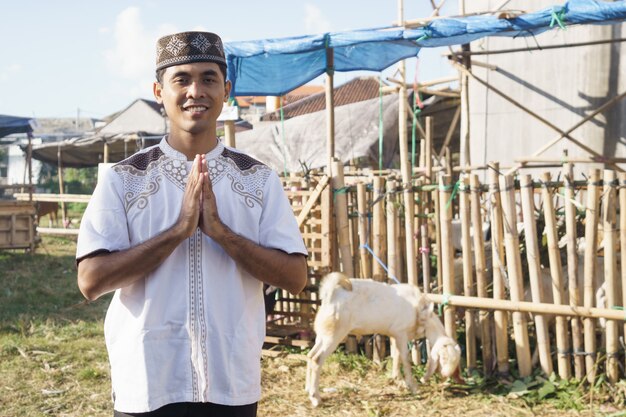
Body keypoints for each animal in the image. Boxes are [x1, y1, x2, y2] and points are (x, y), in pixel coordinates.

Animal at [304, 272, 426, 404]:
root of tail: (330, 295)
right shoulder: (401, 333)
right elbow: (405, 358)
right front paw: (413, 387)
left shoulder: (395, 335)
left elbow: (397, 356)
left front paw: (398, 379)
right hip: (334, 336)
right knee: (317, 359)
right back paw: (315, 398)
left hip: (323, 335)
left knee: (310, 355)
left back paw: (308, 389)